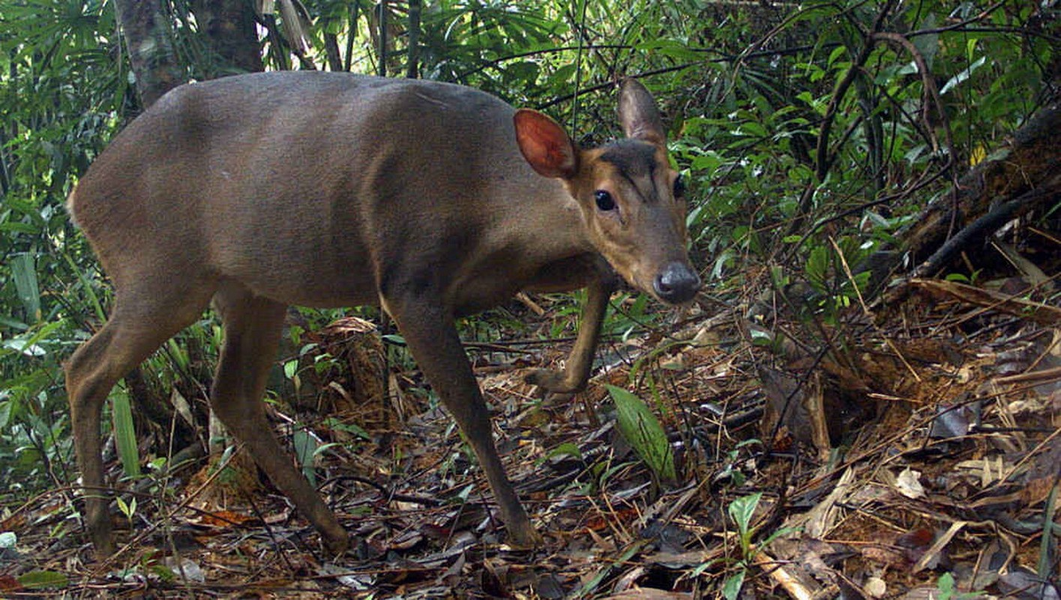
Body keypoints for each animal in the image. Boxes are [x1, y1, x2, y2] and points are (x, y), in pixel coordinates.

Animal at [62, 74, 700, 559]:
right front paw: (522, 528)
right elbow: (469, 408)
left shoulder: (506, 275)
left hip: (250, 288)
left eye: (679, 181)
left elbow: (603, 275)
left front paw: (549, 376)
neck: (488, 198)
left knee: (230, 394)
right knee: (84, 368)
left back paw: (336, 530)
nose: (678, 279)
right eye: (602, 197)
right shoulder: (406, 279)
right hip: (159, 272)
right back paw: (100, 534)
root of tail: (77, 197)